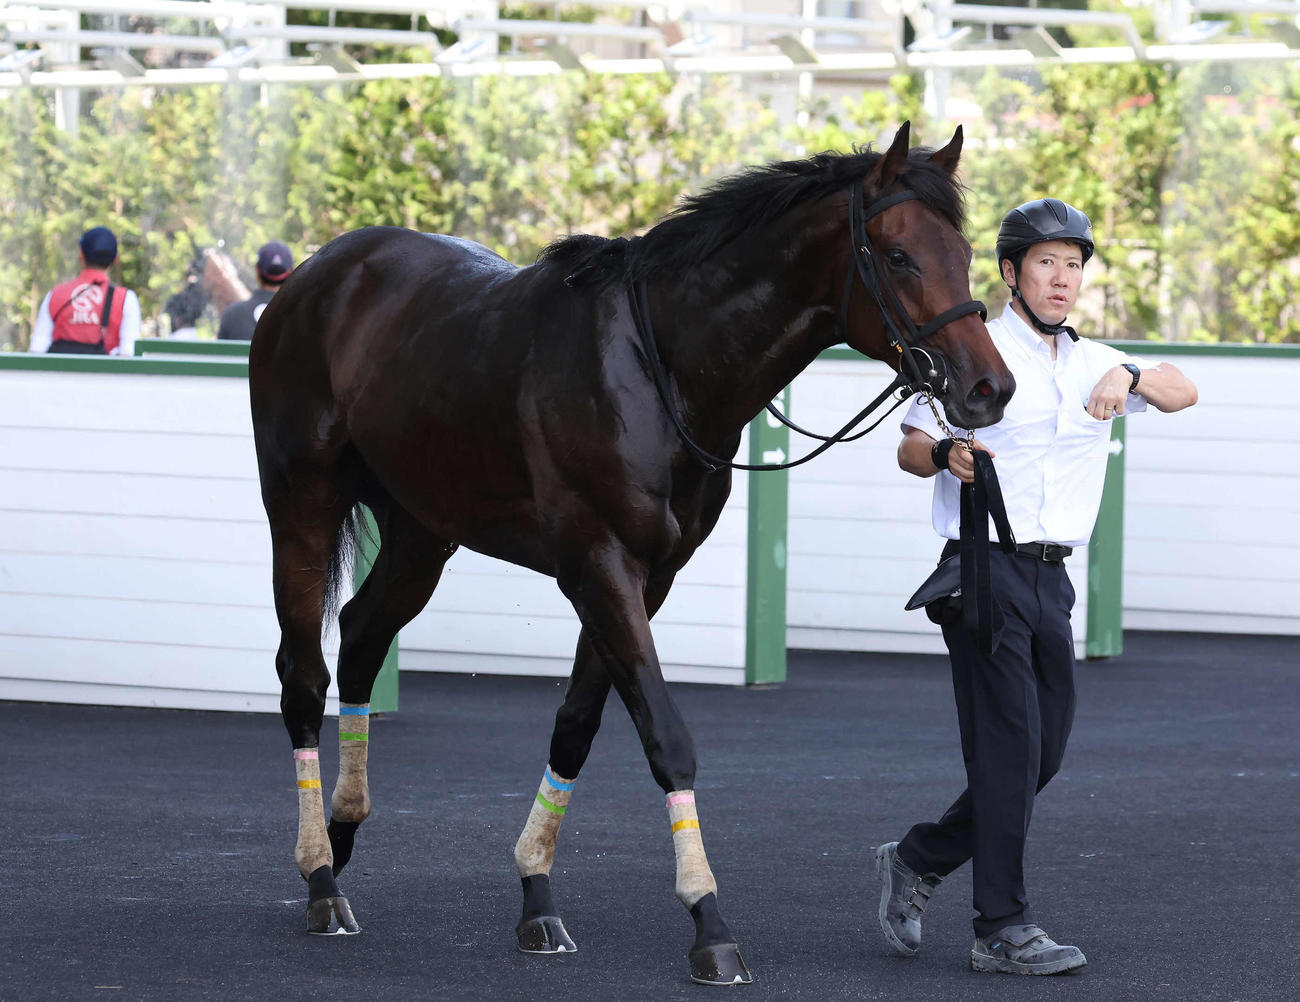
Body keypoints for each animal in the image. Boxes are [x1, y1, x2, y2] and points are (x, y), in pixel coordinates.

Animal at [248, 121, 1015, 985]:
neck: (661, 369)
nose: (988, 387)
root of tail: (317, 275)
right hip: (300, 502)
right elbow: (666, 738)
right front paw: (708, 919)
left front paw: (537, 895)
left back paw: (343, 833)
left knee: (361, 635)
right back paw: (319, 875)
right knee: (303, 675)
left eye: (963, 249)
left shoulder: (648, 576)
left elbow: (578, 725)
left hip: (420, 529)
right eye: (898, 254)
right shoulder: (599, 562)